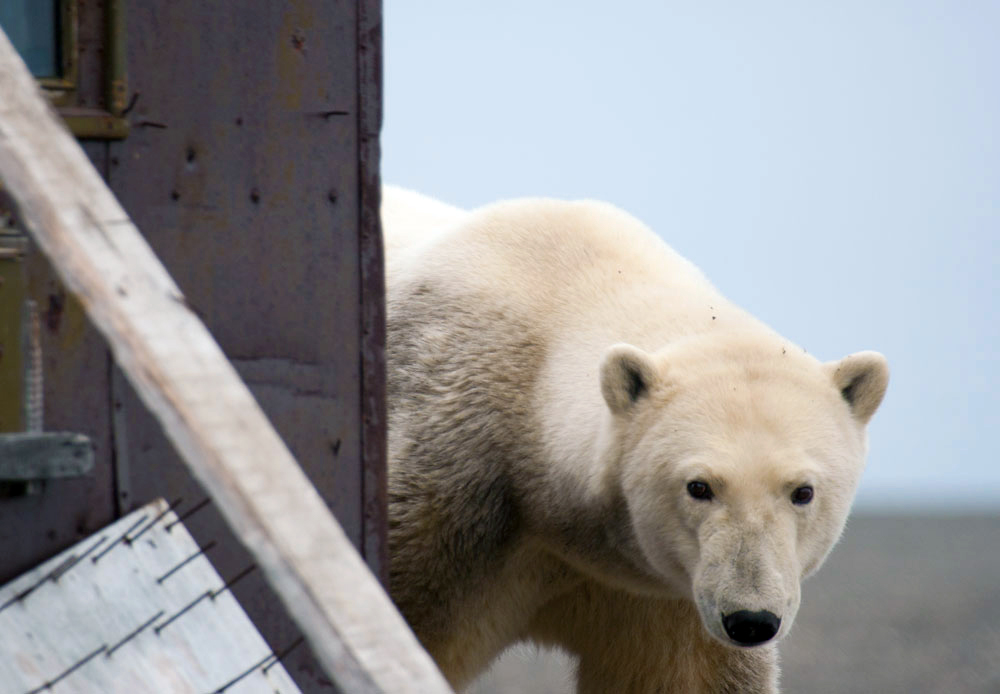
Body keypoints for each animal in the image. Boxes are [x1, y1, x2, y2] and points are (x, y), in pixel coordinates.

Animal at [380, 188, 884, 692]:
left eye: (803, 492)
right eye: (698, 486)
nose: (751, 620)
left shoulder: (661, 589)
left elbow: (686, 675)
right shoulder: (452, 496)